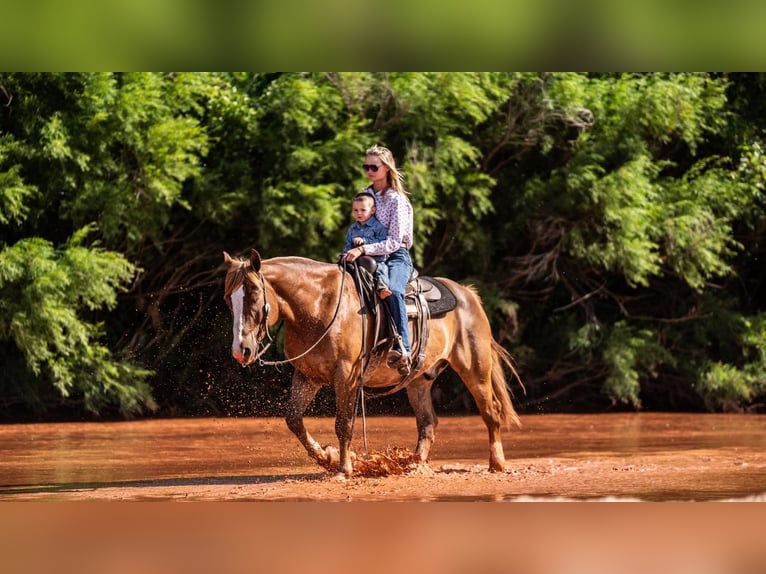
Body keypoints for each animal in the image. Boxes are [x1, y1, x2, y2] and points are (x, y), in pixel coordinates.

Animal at [222, 250, 520, 480]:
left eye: (254, 295)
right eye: (229, 299)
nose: (241, 350)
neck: (318, 306)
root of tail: (467, 293)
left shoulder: (346, 376)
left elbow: (344, 424)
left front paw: (343, 468)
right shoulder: (307, 376)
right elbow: (294, 420)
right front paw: (325, 457)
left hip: (475, 369)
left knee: (490, 412)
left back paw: (496, 464)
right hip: (419, 380)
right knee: (428, 423)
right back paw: (413, 465)